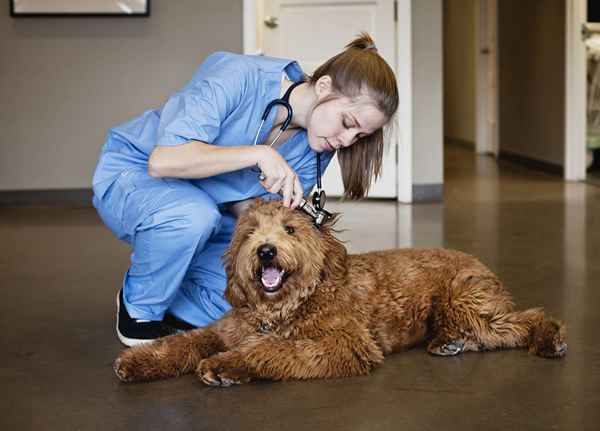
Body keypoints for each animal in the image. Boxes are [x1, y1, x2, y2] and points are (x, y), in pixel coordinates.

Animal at [113, 201, 568, 386]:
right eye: (249, 233)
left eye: (290, 230)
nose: (265, 251)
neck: (281, 310)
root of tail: (481, 262)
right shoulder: (225, 330)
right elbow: (184, 342)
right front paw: (138, 362)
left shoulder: (344, 343)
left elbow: (274, 351)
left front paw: (227, 366)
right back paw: (449, 343)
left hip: (464, 303)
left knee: (522, 321)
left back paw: (549, 338)